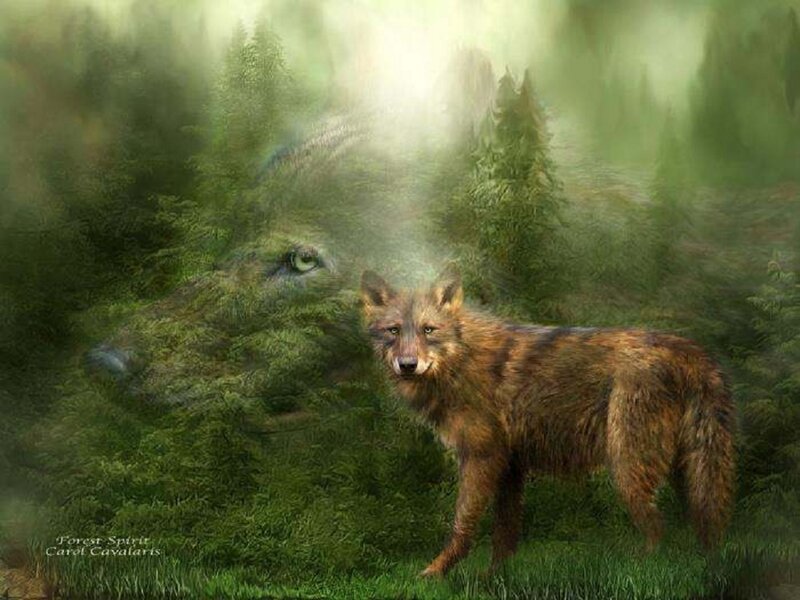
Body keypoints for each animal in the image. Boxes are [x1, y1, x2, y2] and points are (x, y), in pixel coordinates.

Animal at [360, 265, 736, 577]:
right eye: (393, 330)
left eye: (429, 330)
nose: (408, 365)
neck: (460, 362)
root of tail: (688, 349)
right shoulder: (509, 466)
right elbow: (505, 533)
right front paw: (493, 577)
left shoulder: (481, 459)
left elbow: (462, 525)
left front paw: (435, 574)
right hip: (685, 471)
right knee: (698, 526)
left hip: (628, 471)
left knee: (660, 529)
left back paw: (643, 566)